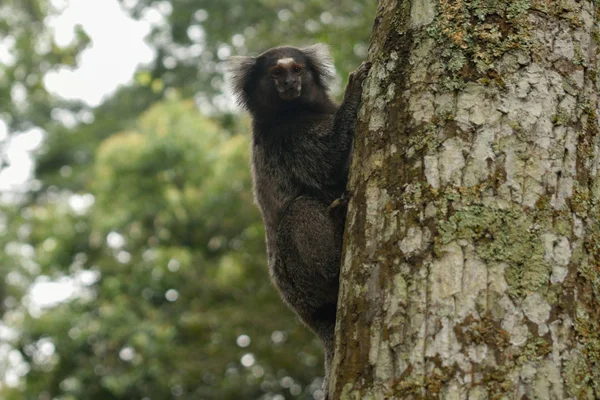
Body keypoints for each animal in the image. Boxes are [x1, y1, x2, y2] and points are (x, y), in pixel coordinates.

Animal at [229, 44, 370, 396]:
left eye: (296, 69)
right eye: (276, 73)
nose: (289, 83)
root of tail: (312, 317)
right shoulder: (287, 139)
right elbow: (328, 163)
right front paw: (354, 90)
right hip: (297, 278)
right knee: (300, 210)